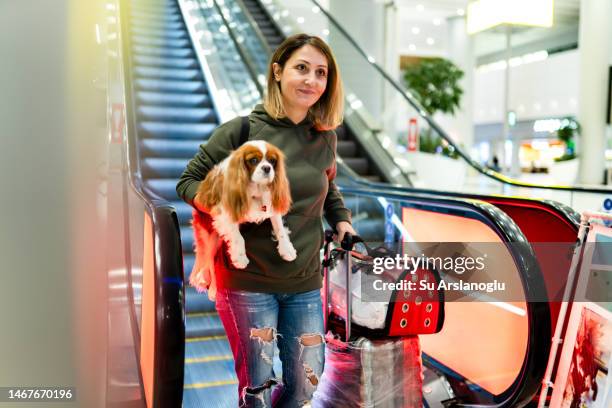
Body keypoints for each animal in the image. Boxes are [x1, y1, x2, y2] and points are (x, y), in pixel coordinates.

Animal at [190, 140, 298, 300]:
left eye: (272, 161)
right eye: (253, 160)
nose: (267, 168)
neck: (256, 188)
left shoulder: (271, 206)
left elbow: (280, 229)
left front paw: (287, 249)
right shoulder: (224, 212)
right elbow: (238, 237)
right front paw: (240, 258)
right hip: (209, 237)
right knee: (209, 261)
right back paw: (213, 289)